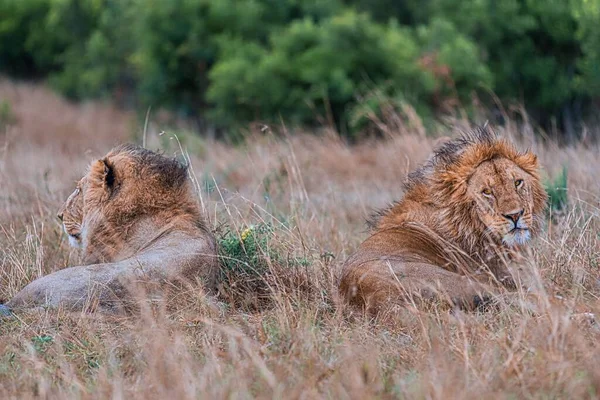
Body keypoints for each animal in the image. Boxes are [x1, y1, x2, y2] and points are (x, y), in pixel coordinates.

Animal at [338, 126, 548, 310]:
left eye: (518, 182)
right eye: (487, 192)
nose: (515, 215)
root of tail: (375, 296)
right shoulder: (500, 274)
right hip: (463, 282)